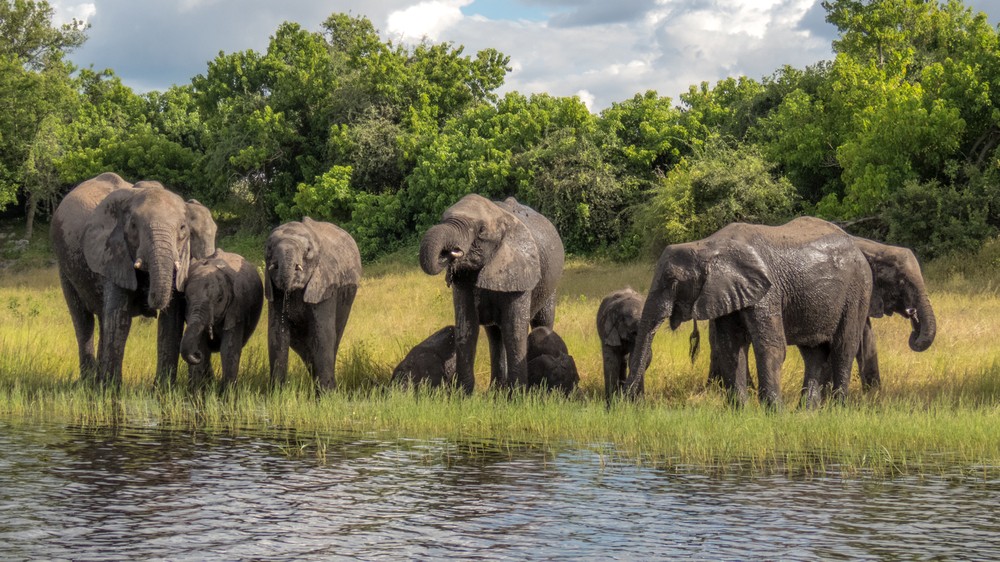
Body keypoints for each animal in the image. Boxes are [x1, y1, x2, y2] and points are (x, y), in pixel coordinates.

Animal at [50, 173, 219, 388]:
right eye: (133, 227)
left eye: (182, 228)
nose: (148, 303)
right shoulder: (113, 254)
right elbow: (120, 320)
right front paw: (111, 391)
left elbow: (171, 320)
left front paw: (162, 390)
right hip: (64, 264)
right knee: (83, 320)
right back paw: (89, 384)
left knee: (103, 319)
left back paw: (97, 382)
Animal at [180, 247, 264, 392]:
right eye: (186, 298)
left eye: (219, 299)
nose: (196, 355)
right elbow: (201, 346)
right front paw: (196, 393)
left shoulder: (237, 309)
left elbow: (228, 349)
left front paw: (226, 394)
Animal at [264, 217, 362, 392]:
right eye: (268, 248)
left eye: (308, 250)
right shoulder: (274, 292)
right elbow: (277, 334)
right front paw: (276, 393)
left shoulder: (325, 285)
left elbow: (323, 335)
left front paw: (327, 394)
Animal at [418, 195, 568, 392]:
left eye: (481, 231)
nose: (448, 253)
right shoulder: (464, 282)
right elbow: (466, 328)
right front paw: (463, 394)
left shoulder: (520, 274)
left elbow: (514, 331)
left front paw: (518, 395)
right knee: (495, 335)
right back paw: (496, 390)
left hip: (551, 282)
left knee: (542, 321)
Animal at [628, 215, 872, 406]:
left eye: (673, 281)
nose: (629, 402)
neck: (708, 246)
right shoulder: (725, 293)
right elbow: (729, 347)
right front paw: (741, 411)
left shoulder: (767, 293)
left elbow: (770, 347)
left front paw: (774, 413)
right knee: (813, 353)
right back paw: (805, 412)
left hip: (858, 291)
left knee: (844, 347)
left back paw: (837, 408)